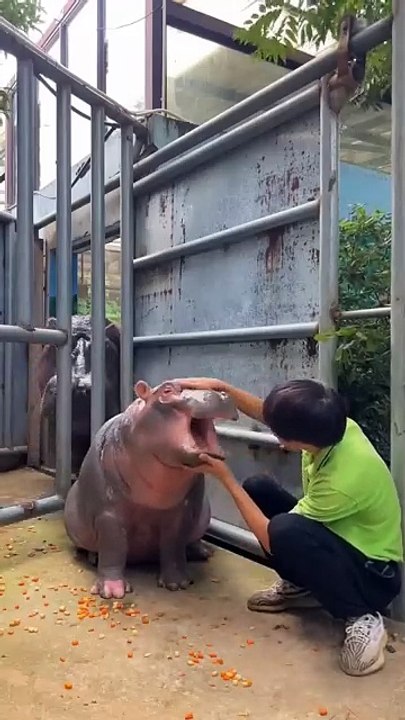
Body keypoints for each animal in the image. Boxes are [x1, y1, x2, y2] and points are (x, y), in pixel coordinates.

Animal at [64, 379, 238, 598]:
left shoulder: (180, 513)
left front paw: (177, 584)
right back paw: (93, 558)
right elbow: (113, 547)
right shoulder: (108, 514)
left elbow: (173, 545)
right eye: (166, 390)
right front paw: (113, 592)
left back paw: (203, 552)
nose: (221, 394)